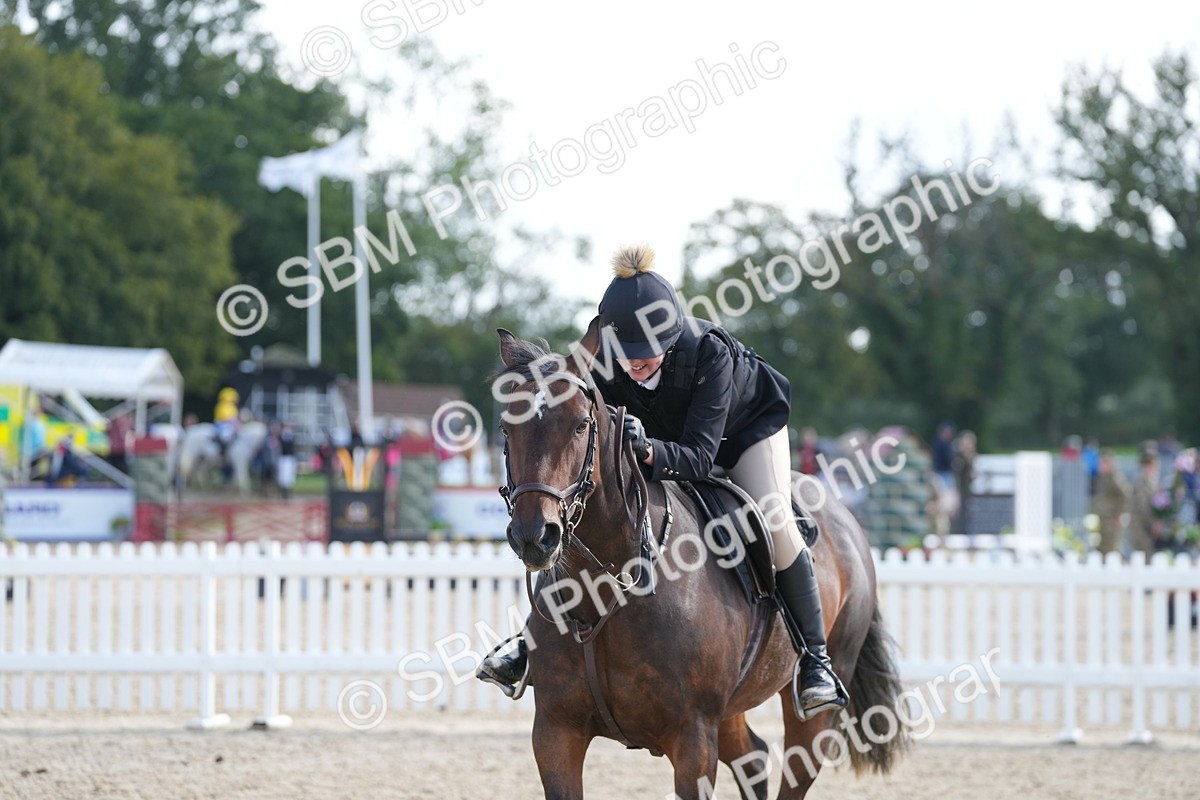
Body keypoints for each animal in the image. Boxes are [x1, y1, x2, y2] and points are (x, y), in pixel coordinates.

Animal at [493, 324, 905, 799]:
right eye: (506, 428)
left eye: (580, 424)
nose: (533, 536)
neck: (604, 591)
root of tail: (847, 520)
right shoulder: (556, 733)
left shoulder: (692, 739)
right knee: (752, 757)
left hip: (812, 708)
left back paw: (817, 678)